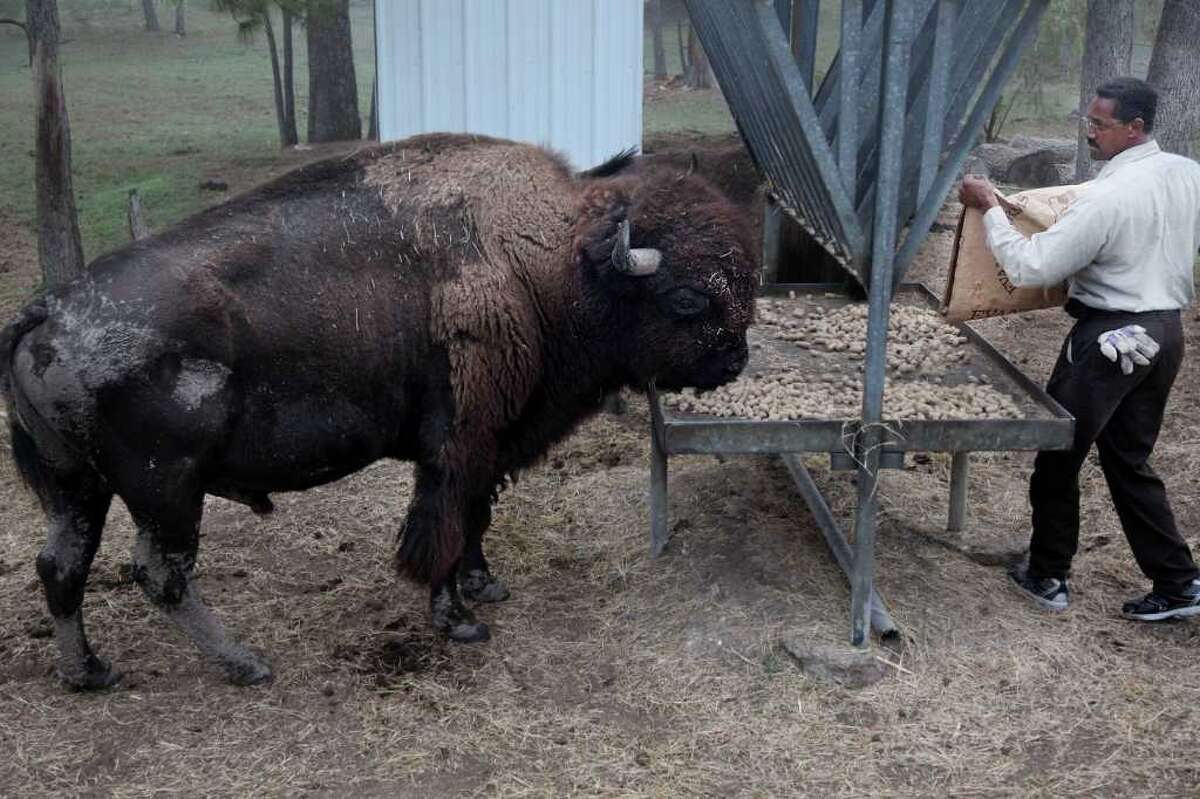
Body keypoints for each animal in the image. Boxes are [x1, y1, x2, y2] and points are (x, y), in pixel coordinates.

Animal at [1, 133, 756, 689]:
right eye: (687, 299)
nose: (735, 360)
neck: (548, 259)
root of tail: (50, 310)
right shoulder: (457, 447)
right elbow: (443, 527)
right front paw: (459, 620)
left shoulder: (490, 446)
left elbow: (476, 517)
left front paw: (486, 586)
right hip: (166, 491)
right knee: (159, 573)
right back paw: (245, 662)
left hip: (79, 487)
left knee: (60, 565)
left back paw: (89, 672)